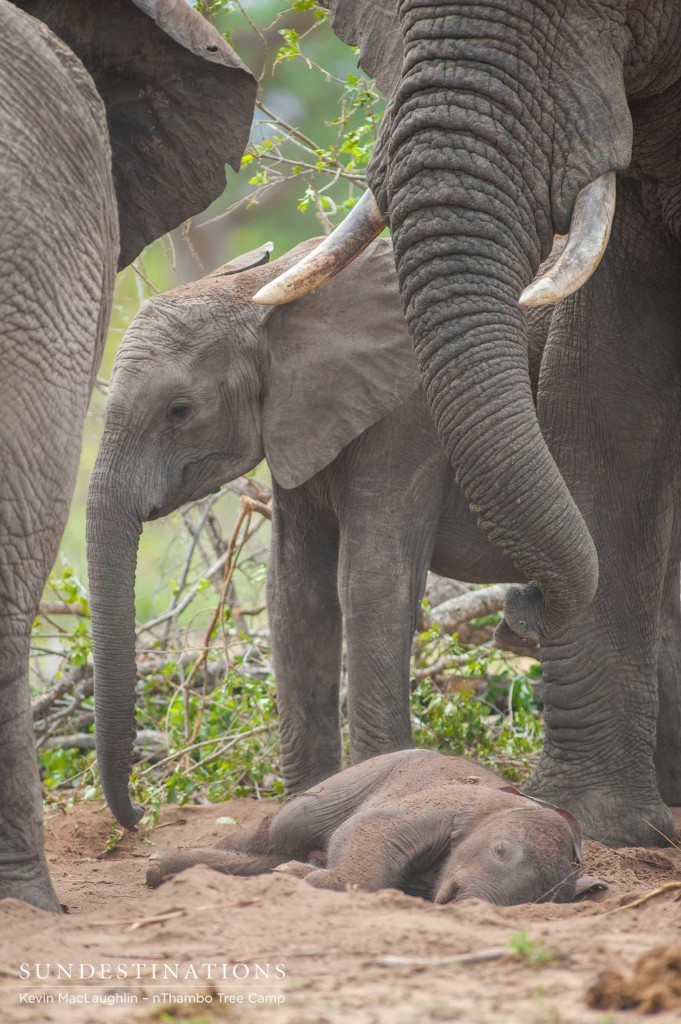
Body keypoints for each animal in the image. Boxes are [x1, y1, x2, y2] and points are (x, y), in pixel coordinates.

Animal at [144, 749, 602, 909]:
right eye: (500, 850)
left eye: (536, 901)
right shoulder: (452, 802)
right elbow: (369, 828)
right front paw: (300, 877)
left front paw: (294, 876)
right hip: (354, 780)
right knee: (280, 831)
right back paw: (156, 864)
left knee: (269, 856)